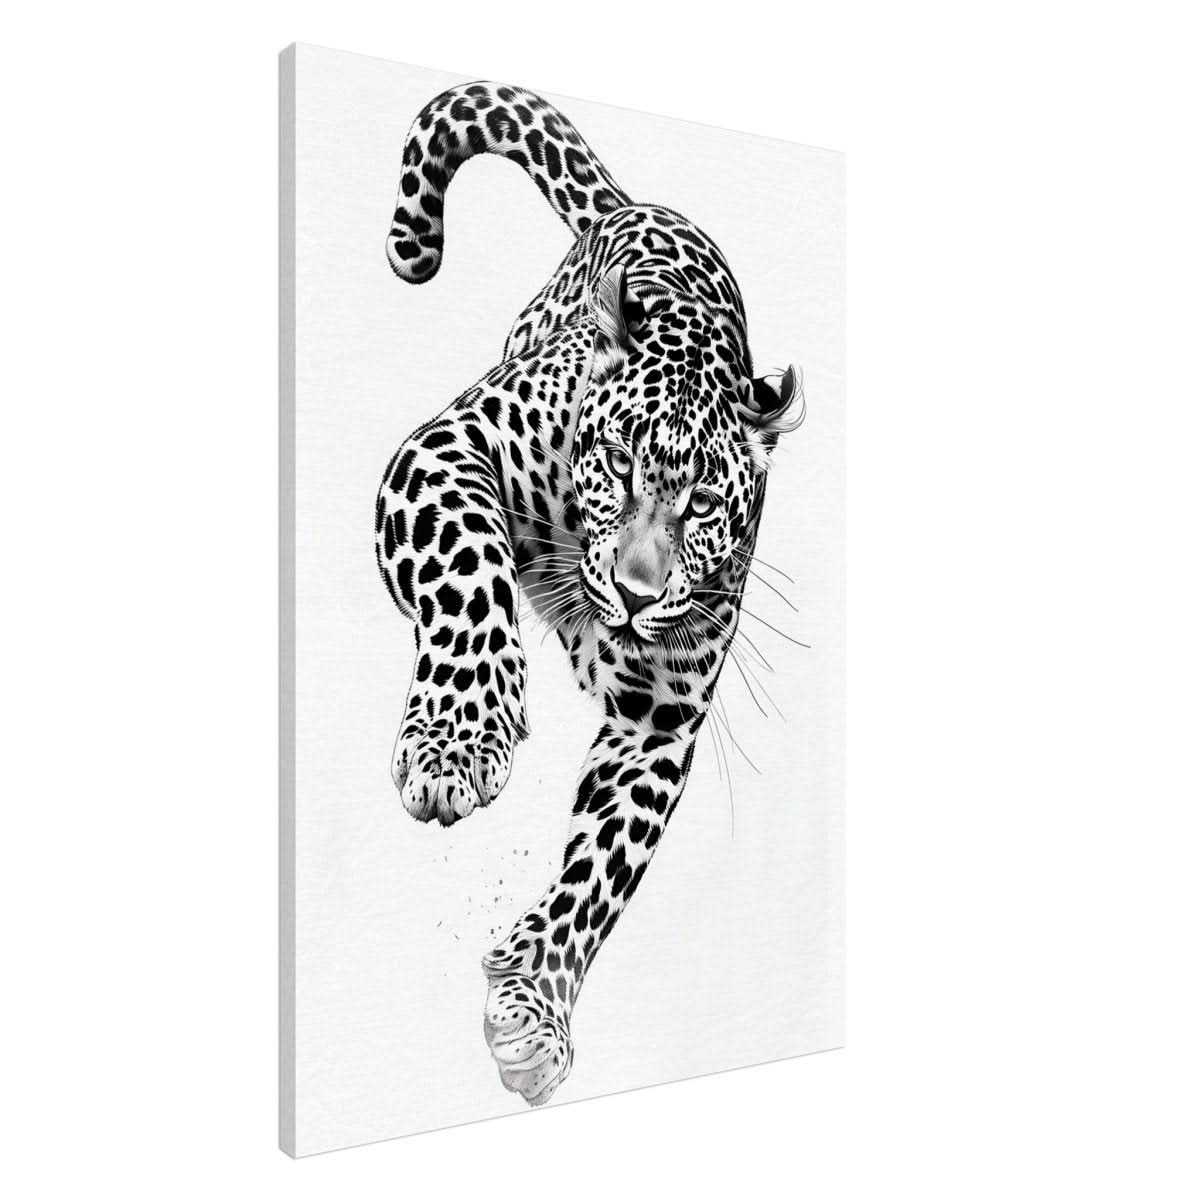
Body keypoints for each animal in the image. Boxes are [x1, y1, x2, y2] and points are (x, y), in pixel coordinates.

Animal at [376, 82, 805, 1108]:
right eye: (615, 461)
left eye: (703, 505)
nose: (637, 594)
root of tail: (641, 204)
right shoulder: (445, 452)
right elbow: (469, 575)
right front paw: (457, 742)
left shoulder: (658, 719)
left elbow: (600, 872)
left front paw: (533, 1006)